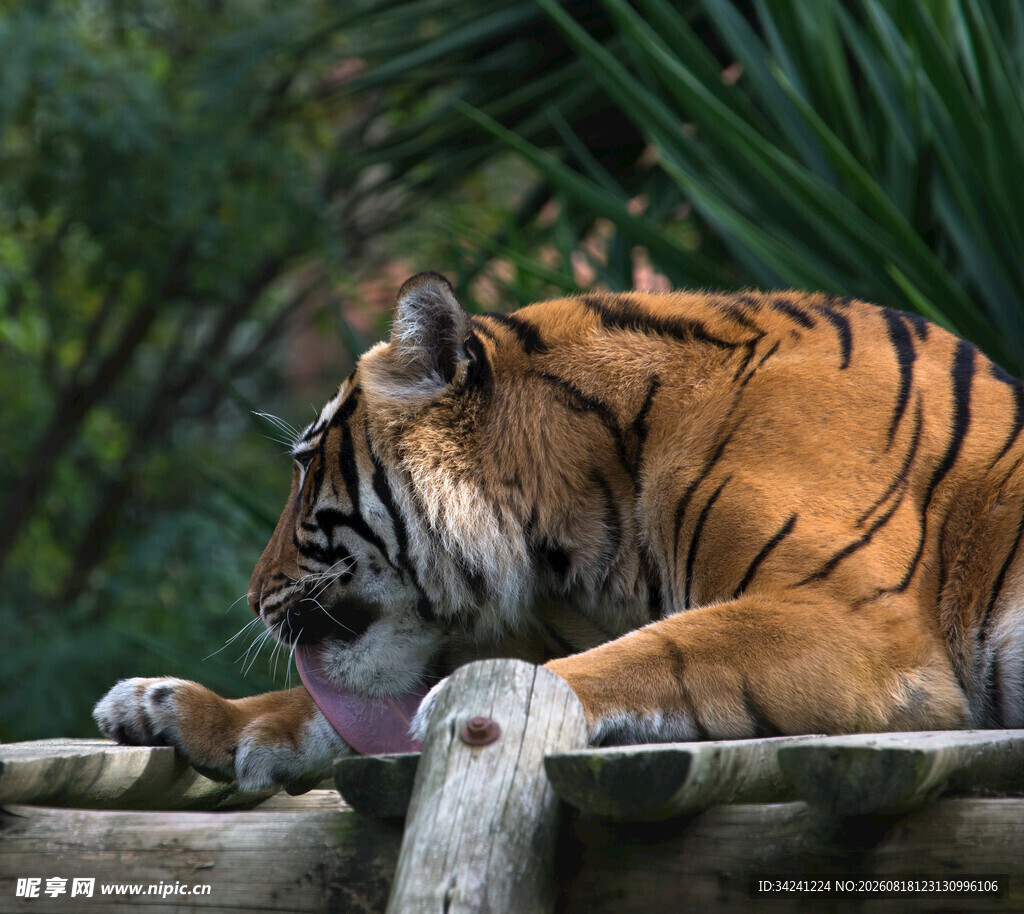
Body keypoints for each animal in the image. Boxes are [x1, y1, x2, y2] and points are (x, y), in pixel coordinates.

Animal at [94, 272, 1024, 791]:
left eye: (303, 468)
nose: (254, 599)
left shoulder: (855, 622)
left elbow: (654, 656)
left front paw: (457, 715)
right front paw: (166, 706)